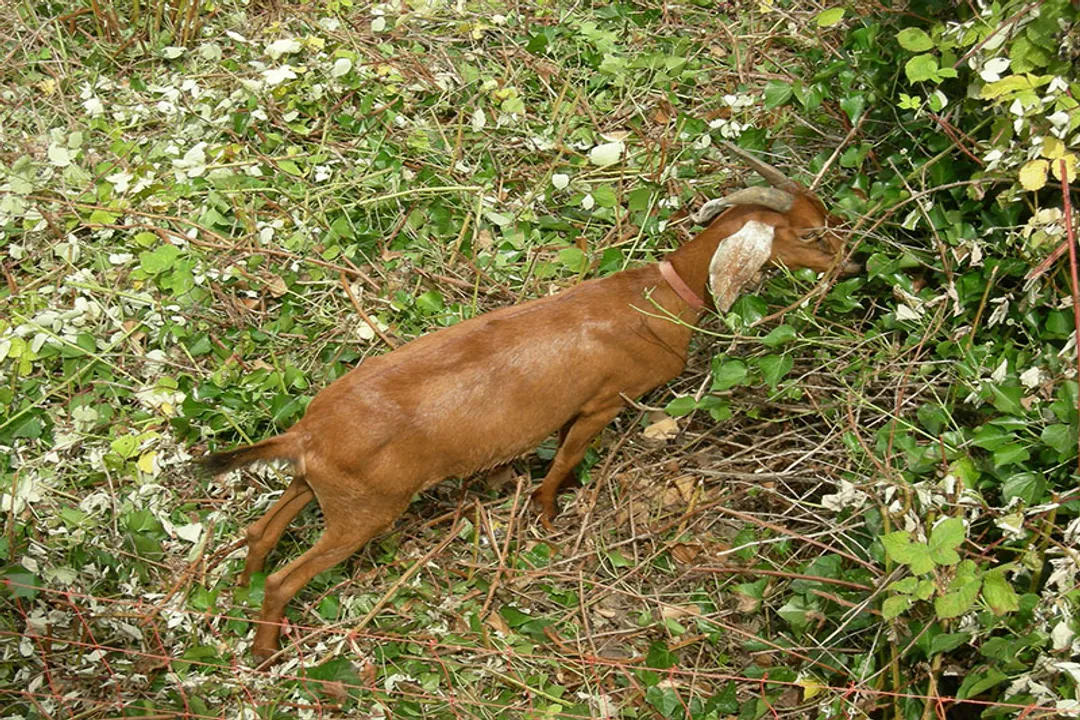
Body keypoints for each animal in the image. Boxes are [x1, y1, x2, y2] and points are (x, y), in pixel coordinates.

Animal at [198, 142, 858, 660]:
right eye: (810, 233)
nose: (851, 263)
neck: (655, 298)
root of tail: (308, 433)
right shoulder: (604, 401)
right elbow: (565, 459)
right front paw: (545, 513)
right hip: (364, 512)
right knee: (285, 580)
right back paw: (264, 651)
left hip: (318, 485)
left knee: (262, 534)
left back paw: (236, 596)